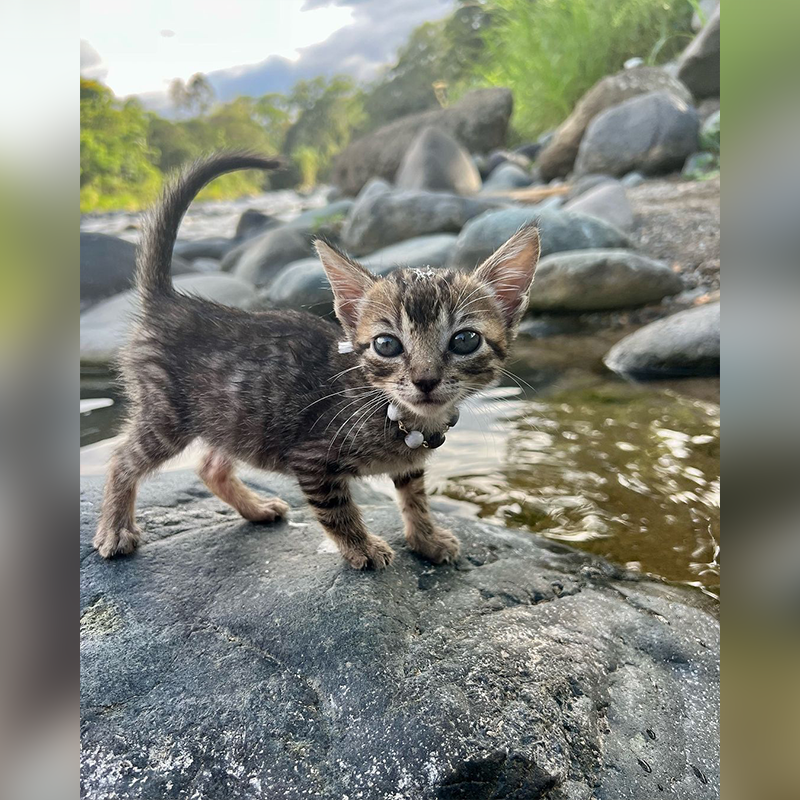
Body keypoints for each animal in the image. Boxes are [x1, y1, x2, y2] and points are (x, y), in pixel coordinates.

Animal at [94, 152, 540, 568]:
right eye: (387, 345)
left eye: (465, 340)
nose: (425, 380)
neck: (394, 413)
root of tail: (170, 301)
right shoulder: (311, 459)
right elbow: (336, 510)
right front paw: (362, 547)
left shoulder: (408, 463)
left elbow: (414, 495)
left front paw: (427, 538)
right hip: (168, 413)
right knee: (122, 460)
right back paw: (115, 529)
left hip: (233, 418)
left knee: (210, 466)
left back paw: (255, 508)